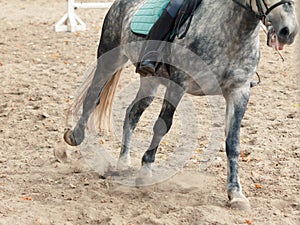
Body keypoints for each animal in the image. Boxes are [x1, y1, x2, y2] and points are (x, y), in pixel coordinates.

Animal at [63, 0, 298, 209]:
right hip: (109, 57)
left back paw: (123, 162)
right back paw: (75, 136)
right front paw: (146, 172)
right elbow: (162, 126)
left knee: (133, 112)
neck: (232, 32)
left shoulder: (239, 92)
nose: (288, 31)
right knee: (93, 97)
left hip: (150, 81)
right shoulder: (179, 83)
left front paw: (236, 194)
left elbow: (233, 143)